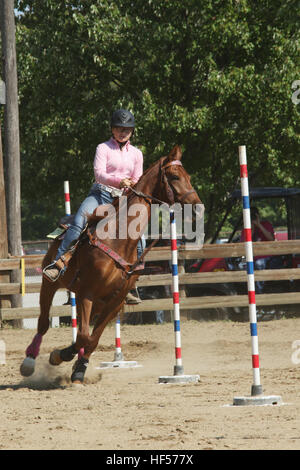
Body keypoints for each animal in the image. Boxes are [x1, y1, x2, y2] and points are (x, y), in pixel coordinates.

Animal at [20, 145, 202, 384]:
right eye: (174, 176)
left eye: (188, 175)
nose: (198, 208)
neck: (118, 238)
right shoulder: (87, 293)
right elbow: (84, 336)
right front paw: (60, 356)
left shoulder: (115, 301)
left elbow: (91, 339)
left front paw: (78, 368)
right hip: (49, 284)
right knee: (42, 322)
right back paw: (29, 361)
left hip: (98, 301)